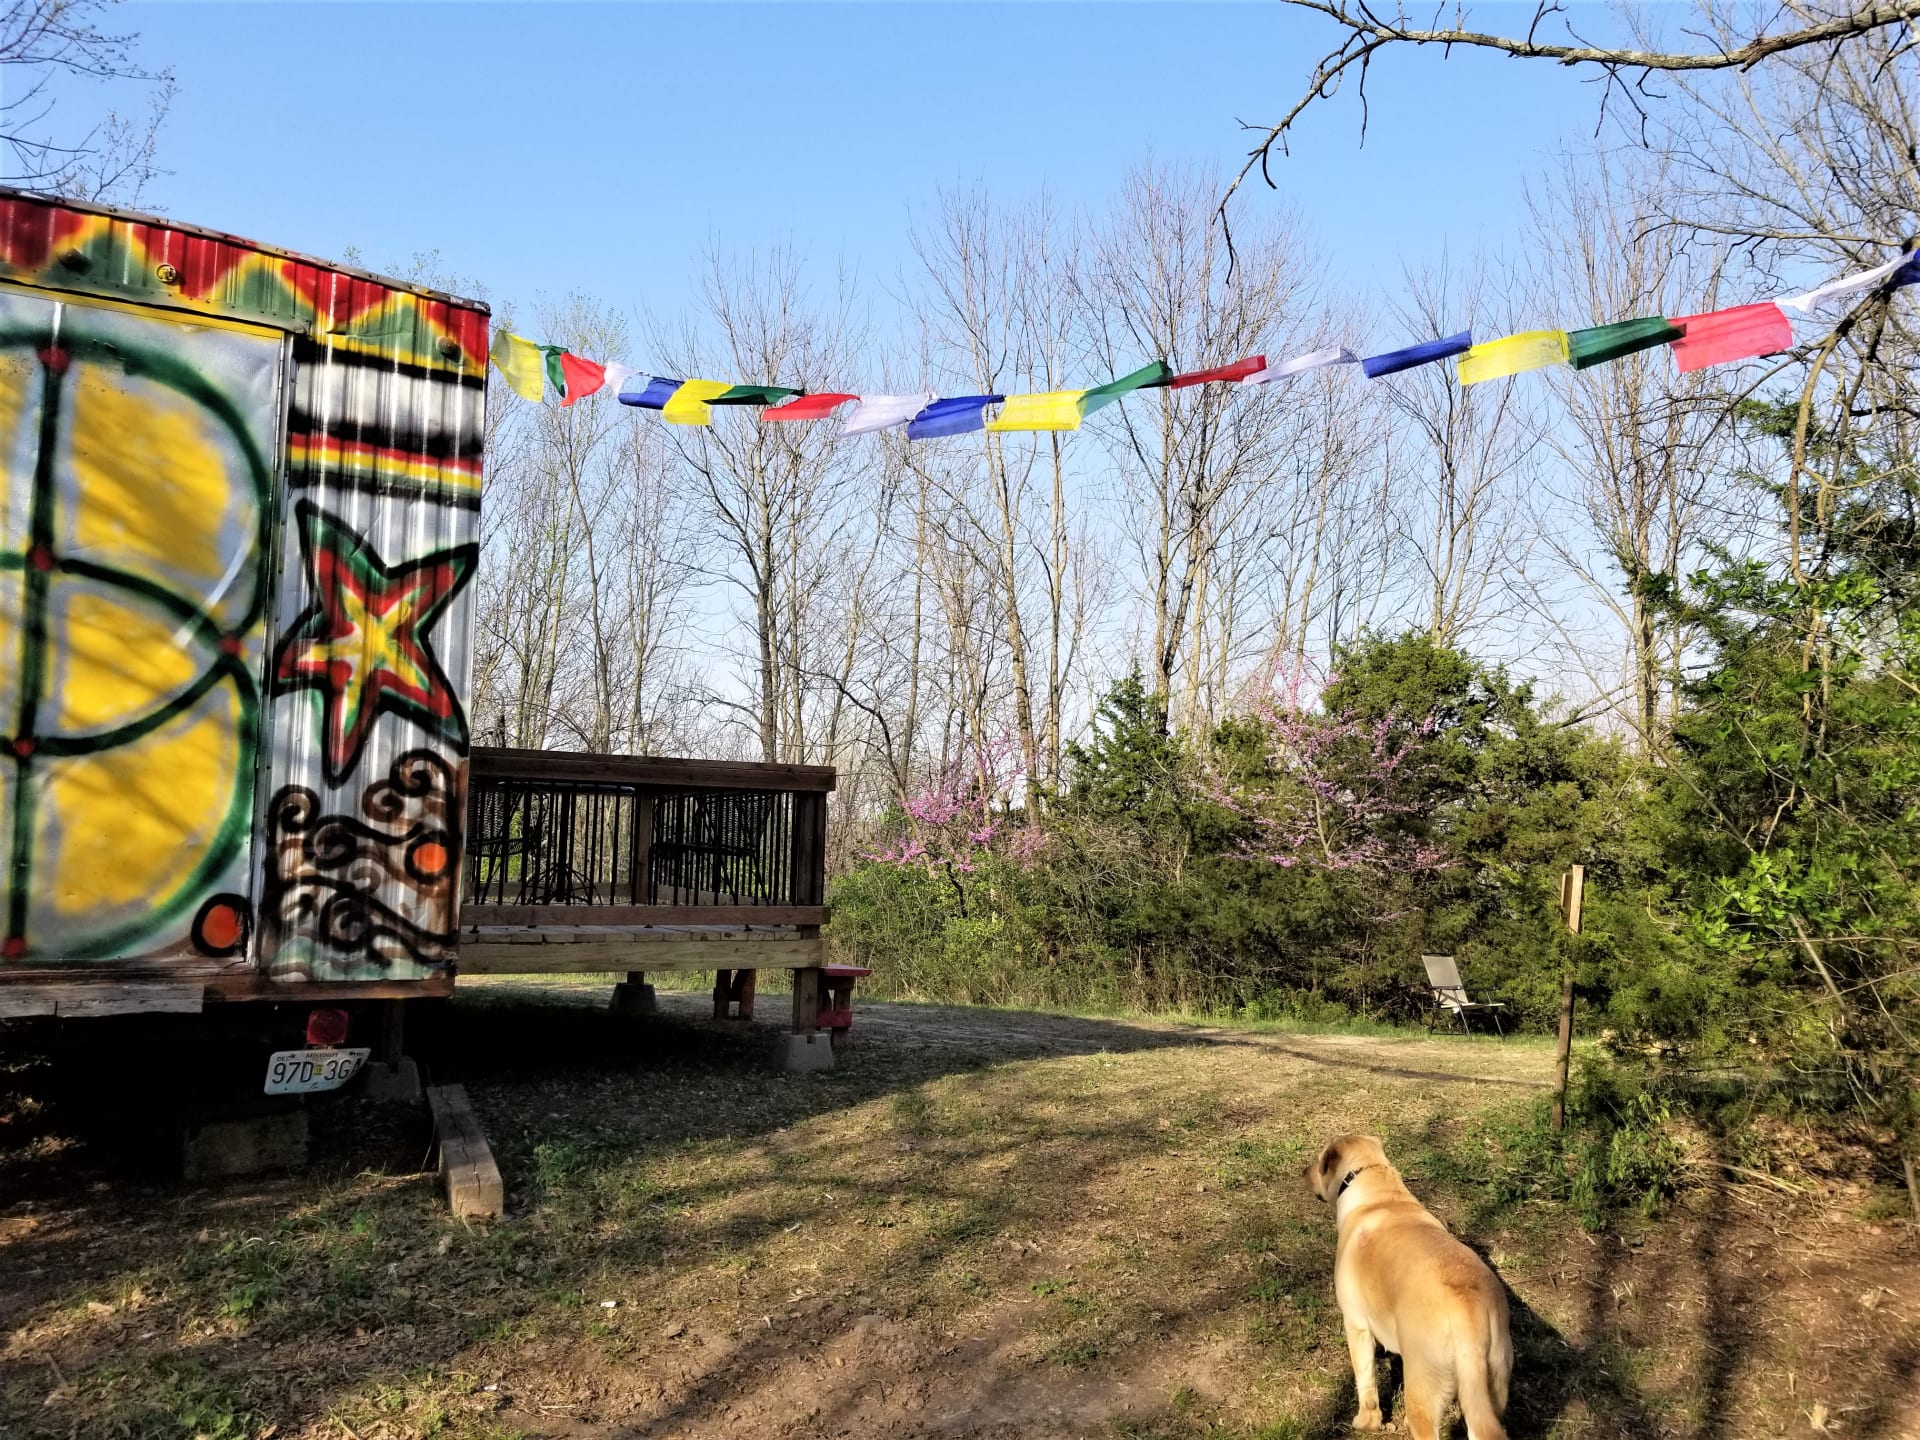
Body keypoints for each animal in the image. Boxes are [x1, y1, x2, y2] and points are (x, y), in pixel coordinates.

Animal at [1305, 1136, 1512, 1440]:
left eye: (1318, 1163)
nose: (1303, 1173)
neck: (1375, 1184)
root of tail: (1468, 1310)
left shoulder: (1356, 1324)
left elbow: (1365, 1381)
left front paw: (1367, 1423)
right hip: (1491, 1390)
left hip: (1423, 1394)